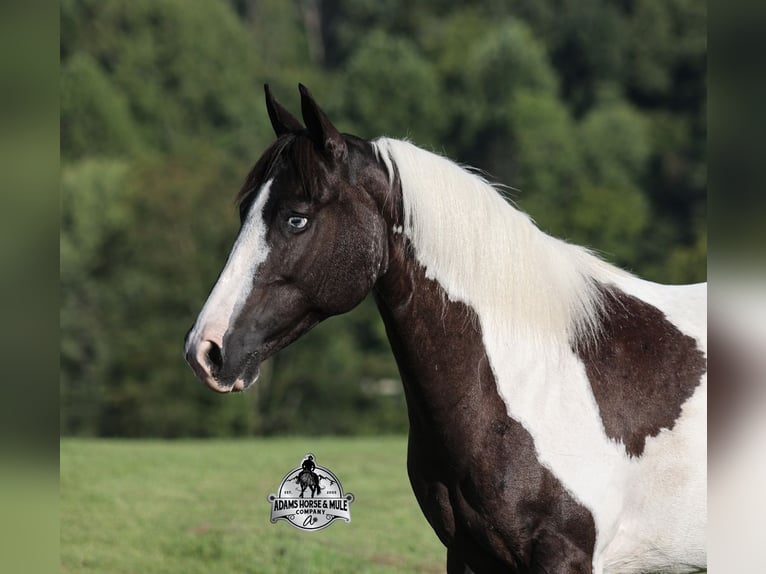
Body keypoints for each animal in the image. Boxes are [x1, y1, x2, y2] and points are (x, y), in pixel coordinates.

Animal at [184, 85, 707, 573]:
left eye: (297, 218)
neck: (536, 380)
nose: (205, 350)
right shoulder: (468, 554)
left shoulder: (564, 558)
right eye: (244, 212)